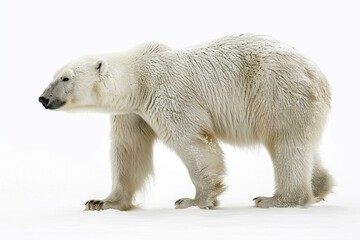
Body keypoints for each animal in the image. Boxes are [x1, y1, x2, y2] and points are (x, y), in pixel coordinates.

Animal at [38, 33, 334, 210]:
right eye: (54, 75)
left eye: (65, 77)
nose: (43, 98)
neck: (140, 77)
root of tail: (318, 75)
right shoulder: (132, 113)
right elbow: (128, 151)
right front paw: (101, 202)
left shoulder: (168, 94)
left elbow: (193, 141)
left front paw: (194, 199)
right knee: (303, 145)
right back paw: (319, 187)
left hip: (277, 90)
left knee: (285, 142)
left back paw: (277, 199)